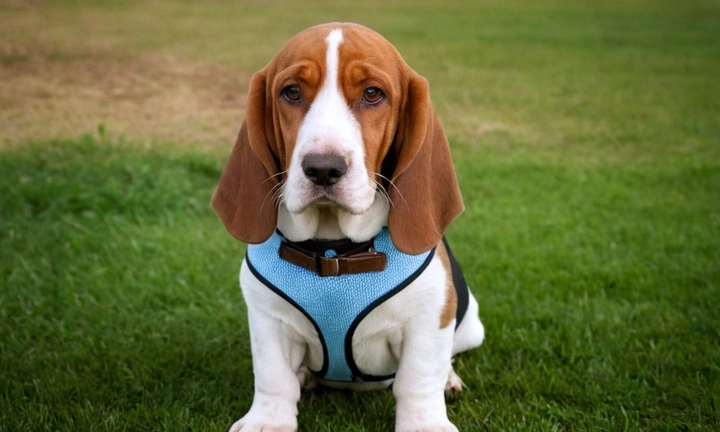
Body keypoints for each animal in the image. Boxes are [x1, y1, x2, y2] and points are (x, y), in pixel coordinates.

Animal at [212, 22, 484, 432]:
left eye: (373, 94)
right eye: (291, 92)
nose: (323, 168)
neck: (334, 252)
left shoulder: (429, 318)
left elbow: (418, 379)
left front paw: (424, 423)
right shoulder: (266, 318)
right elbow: (273, 376)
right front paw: (268, 420)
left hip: (470, 326)